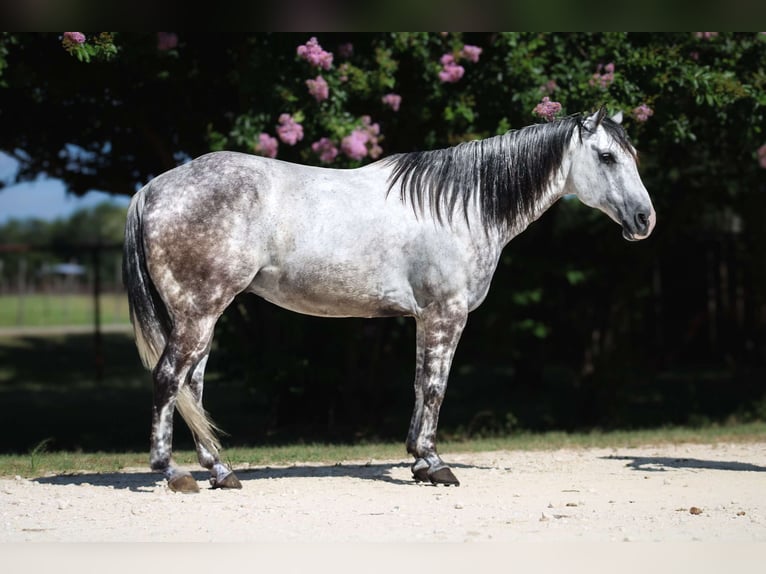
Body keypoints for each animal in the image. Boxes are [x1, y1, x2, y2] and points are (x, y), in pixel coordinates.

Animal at [123, 109, 656, 496]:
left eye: (632, 155)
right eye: (606, 157)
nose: (644, 220)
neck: (458, 206)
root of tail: (153, 189)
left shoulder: (425, 318)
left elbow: (420, 386)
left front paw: (419, 461)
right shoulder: (446, 315)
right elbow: (436, 388)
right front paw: (435, 465)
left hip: (202, 316)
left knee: (192, 387)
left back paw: (221, 471)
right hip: (198, 313)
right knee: (168, 379)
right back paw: (174, 473)